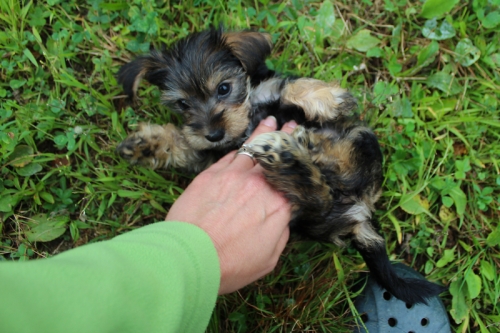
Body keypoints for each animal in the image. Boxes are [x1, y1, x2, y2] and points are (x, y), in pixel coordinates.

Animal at [117, 28, 446, 304]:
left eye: (224, 88)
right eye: (183, 104)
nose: (213, 133)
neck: (248, 116)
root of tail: (362, 213)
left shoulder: (271, 89)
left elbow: (290, 87)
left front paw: (327, 97)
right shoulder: (207, 153)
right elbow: (181, 142)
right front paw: (145, 144)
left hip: (361, 139)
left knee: (340, 166)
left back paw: (306, 145)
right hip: (310, 217)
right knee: (318, 195)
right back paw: (291, 157)